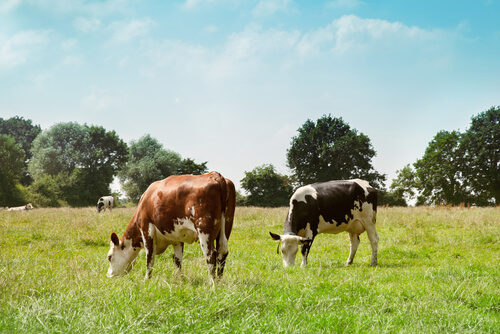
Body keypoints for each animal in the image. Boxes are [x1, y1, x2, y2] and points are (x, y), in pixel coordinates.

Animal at [106, 172, 235, 280]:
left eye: (109, 257)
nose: (108, 275)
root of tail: (215, 175)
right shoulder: (177, 238)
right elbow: (177, 260)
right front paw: (181, 279)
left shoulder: (146, 229)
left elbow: (149, 258)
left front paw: (147, 279)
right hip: (226, 227)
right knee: (222, 253)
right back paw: (219, 282)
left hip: (204, 229)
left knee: (210, 256)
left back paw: (213, 285)